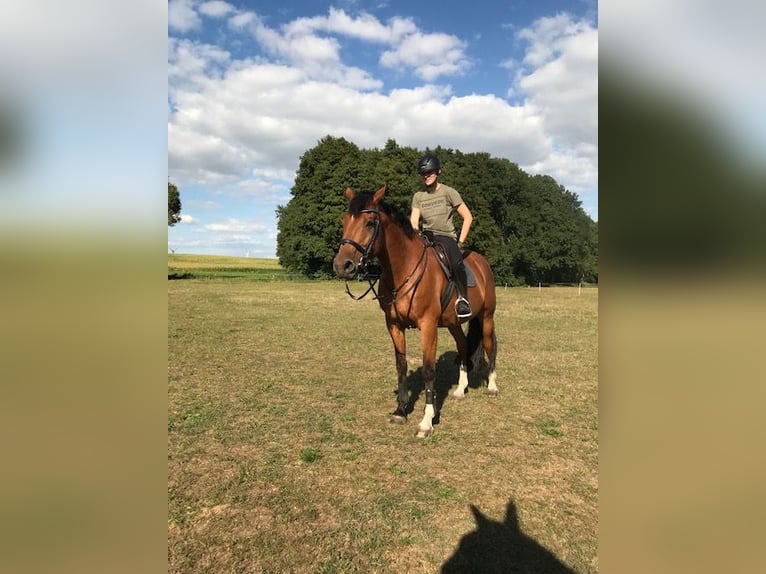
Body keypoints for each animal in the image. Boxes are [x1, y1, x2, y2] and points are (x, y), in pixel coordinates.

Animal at [332, 187, 500, 438]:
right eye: (344, 221)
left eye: (370, 223)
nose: (343, 266)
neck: (404, 268)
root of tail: (482, 263)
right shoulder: (393, 325)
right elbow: (401, 365)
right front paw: (401, 410)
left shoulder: (428, 326)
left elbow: (429, 370)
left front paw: (426, 421)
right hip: (453, 323)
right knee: (462, 346)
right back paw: (460, 389)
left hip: (487, 317)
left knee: (490, 345)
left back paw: (492, 386)